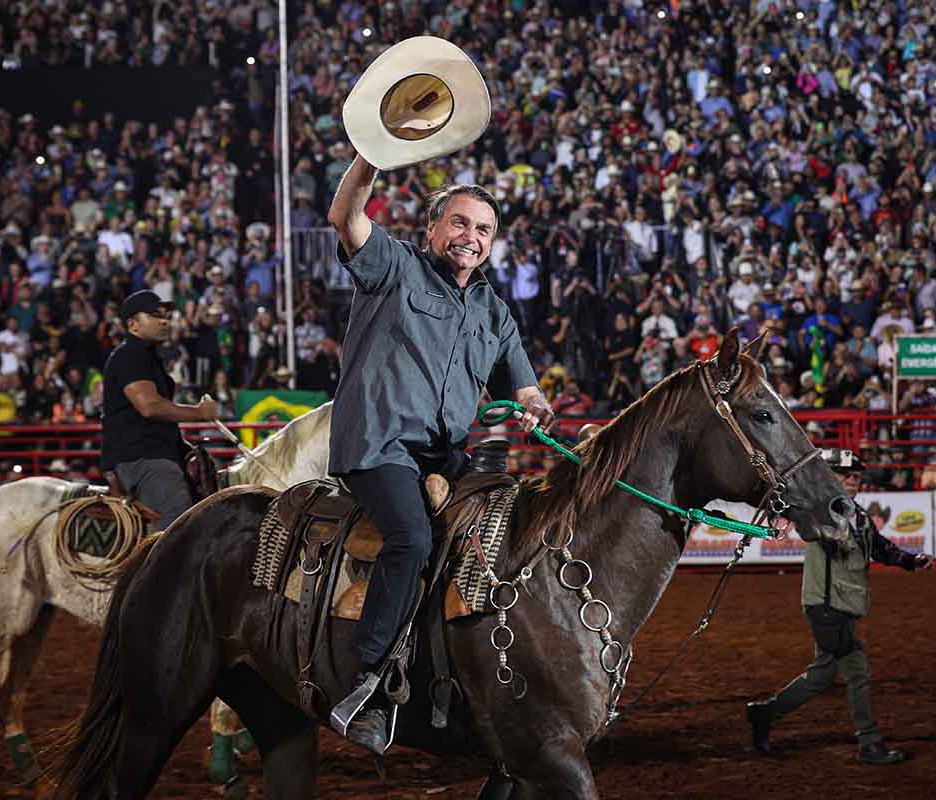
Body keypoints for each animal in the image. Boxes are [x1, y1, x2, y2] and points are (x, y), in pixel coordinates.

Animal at [51, 332, 856, 800]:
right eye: (761, 413)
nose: (845, 507)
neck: (562, 580)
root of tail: (170, 536)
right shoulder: (552, 757)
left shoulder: (514, 767)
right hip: (154, 715)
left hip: (280, 718)